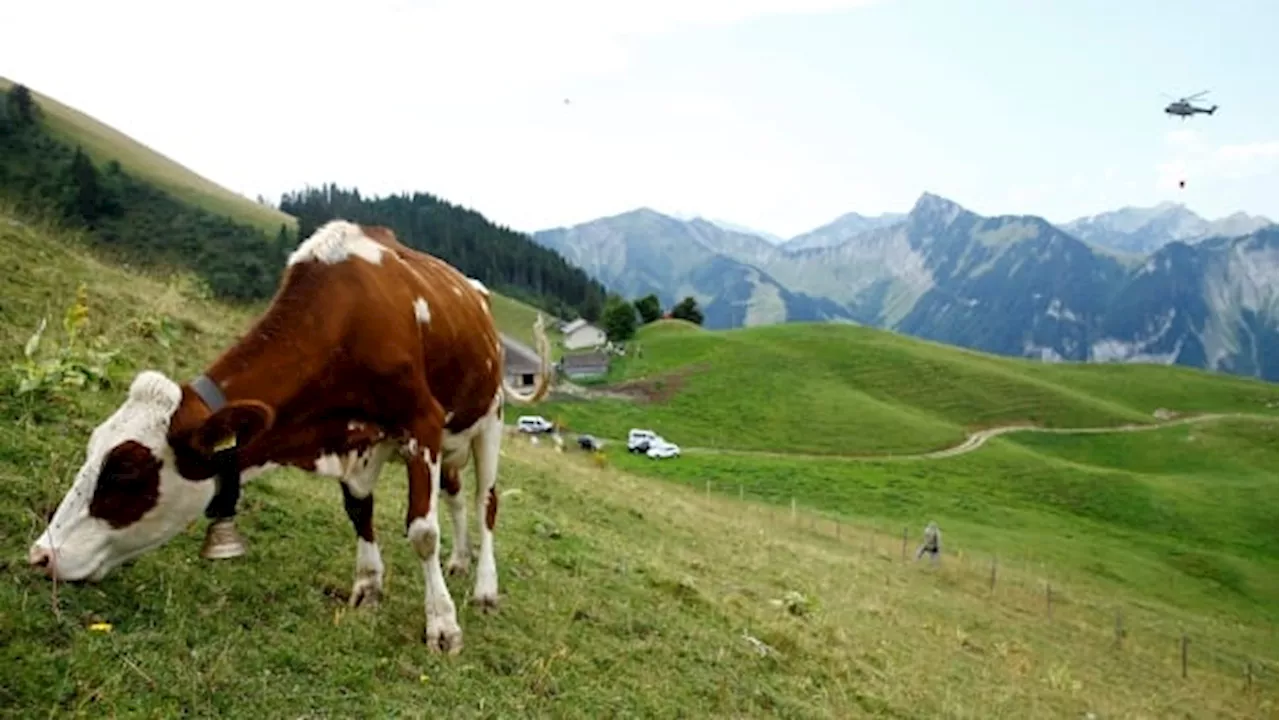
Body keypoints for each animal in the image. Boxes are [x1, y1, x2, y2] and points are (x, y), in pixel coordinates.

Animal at [27, 219, 552, 650]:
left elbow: (423, 532)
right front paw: (368, 586)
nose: (41, 556)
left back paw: (484, 588)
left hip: (489, 419)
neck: (347, 319)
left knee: (486, 502)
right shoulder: (358, 440)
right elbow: (359, 512)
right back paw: (460, 561)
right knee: (458, 496)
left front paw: (442, 624)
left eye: (126, 473)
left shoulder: (421, 421)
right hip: (452, 438)